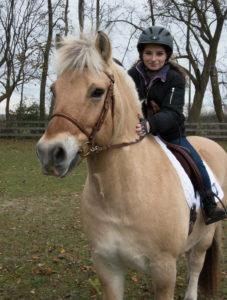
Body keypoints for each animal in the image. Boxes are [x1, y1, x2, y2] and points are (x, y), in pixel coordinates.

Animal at [36, 31, 227, 298]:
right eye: (54, 90)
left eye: (97, 91)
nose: (49, 153)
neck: (123, 196)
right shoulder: (107, 266)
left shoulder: (164, 269)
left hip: (205, 237)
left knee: (196, 265)